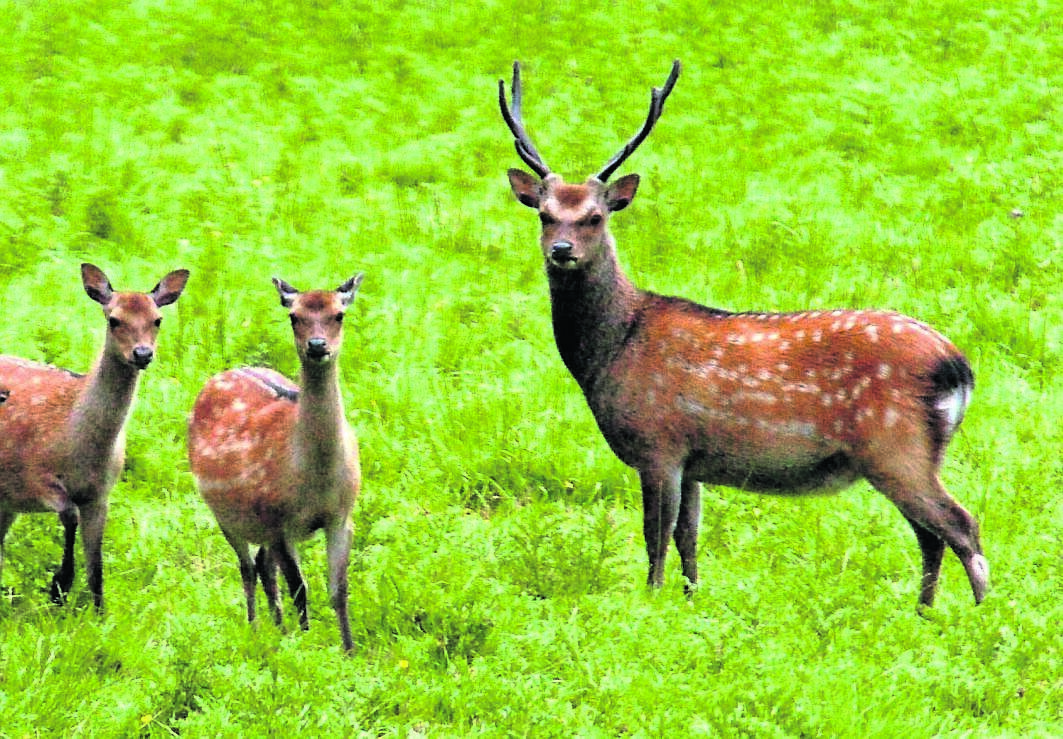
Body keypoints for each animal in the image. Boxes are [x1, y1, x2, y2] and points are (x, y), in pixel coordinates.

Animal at [0, 263, 189, 608]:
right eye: (114, 320)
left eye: (157, 319)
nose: (142, 353)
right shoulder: (32, 475)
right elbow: (69, 514)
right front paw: (59, 586)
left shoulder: (101, 494)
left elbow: (96, 564)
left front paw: (99, 610)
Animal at [188, 274, 364, 652]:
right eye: (294, 316)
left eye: (339, 314)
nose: (317, 345)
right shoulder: (279, 519)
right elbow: (300, 588)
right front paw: (307, 645)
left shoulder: (341, 516)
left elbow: (339, 590)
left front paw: (349, 650)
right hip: (226, 513)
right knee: (247, 567)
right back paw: (255, 628)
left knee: (262, 566)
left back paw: (279, 628)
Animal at [499, 61, 988, 609]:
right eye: (544, 214)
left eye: (594, 217)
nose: (561, 249)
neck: (610, 353)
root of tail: (958, 366)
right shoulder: (692, 460)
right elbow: (688, 538)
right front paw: (691, 601)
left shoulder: (658, 443)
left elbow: (655, 537)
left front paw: (650, 604)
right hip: (911, 454)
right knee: (930, 534)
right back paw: (923, 614)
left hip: (896, 445)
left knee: (960, 525)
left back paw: (976, 616)